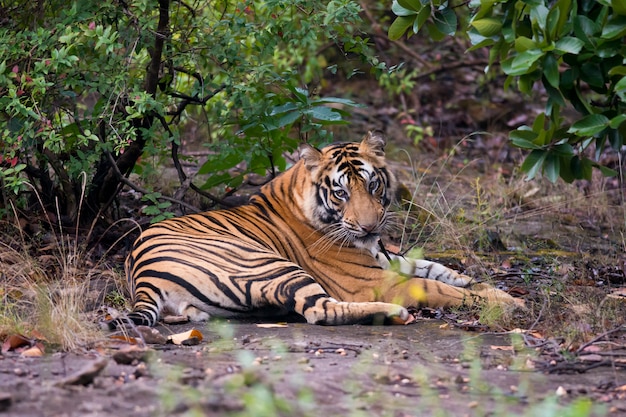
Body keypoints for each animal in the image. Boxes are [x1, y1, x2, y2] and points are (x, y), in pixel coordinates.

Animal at [109, 131, 520, 328]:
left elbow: (448, 273)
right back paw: (395, 313)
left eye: (372, 185)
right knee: (318, 310)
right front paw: (509, 304)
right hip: (273, 266)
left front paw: (499, 292)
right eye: (340, 192)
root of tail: (141, 273)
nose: (370, 226)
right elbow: (440, 287)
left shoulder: (392, 259)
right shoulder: (372, 280)